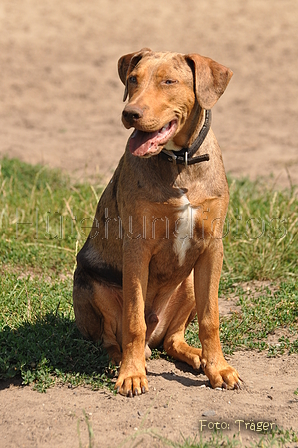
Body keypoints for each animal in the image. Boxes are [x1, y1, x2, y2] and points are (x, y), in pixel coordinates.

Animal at [73, 49, 241, 398]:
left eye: (169, 82)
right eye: (133, 79)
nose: (130, 113)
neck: (181, 161)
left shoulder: (211, 248)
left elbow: (211, 319)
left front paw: (218, 368)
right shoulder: (137, 249)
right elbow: (133, 321)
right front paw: (132, 374)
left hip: (188, 283)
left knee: (173, 339)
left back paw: (196, 356)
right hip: (91, 283)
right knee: (113, 338)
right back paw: (122, 360)